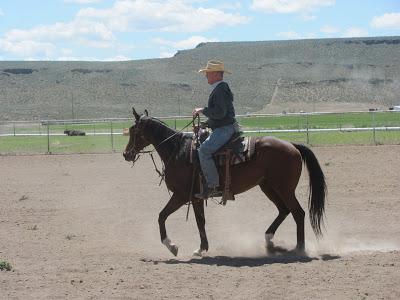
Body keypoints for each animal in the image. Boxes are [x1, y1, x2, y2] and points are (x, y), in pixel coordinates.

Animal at [123, 109, 326, 256]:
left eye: (133, 131)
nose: (126, 154)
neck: (178, 151)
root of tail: (292, 145)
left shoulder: (180, 195)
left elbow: (161, 216)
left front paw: (172, 245)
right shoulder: (196, 197)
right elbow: (200, 221)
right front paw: (201, 248)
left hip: (284, 188)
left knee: (297, 212)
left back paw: (299, 249)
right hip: (268, 186)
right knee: (284, 210)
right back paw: (269, 241)